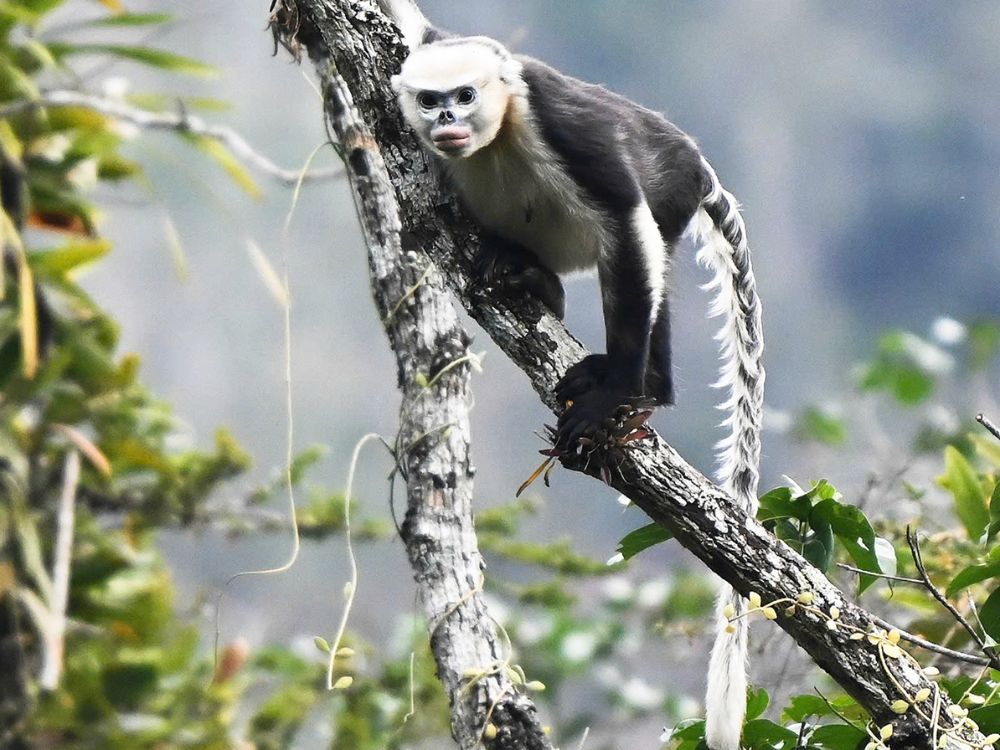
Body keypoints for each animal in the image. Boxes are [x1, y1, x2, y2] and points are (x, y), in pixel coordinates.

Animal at [379, 3, 764, 747]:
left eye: (464, 96)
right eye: (433, 100)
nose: (447, 121)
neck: (499, 129)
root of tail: (700, 166)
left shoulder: (561, 123)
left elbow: (624, 218)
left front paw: (615, 393)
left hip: (673, 184)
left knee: (642, 253)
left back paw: (644, 387)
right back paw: (530, 279)